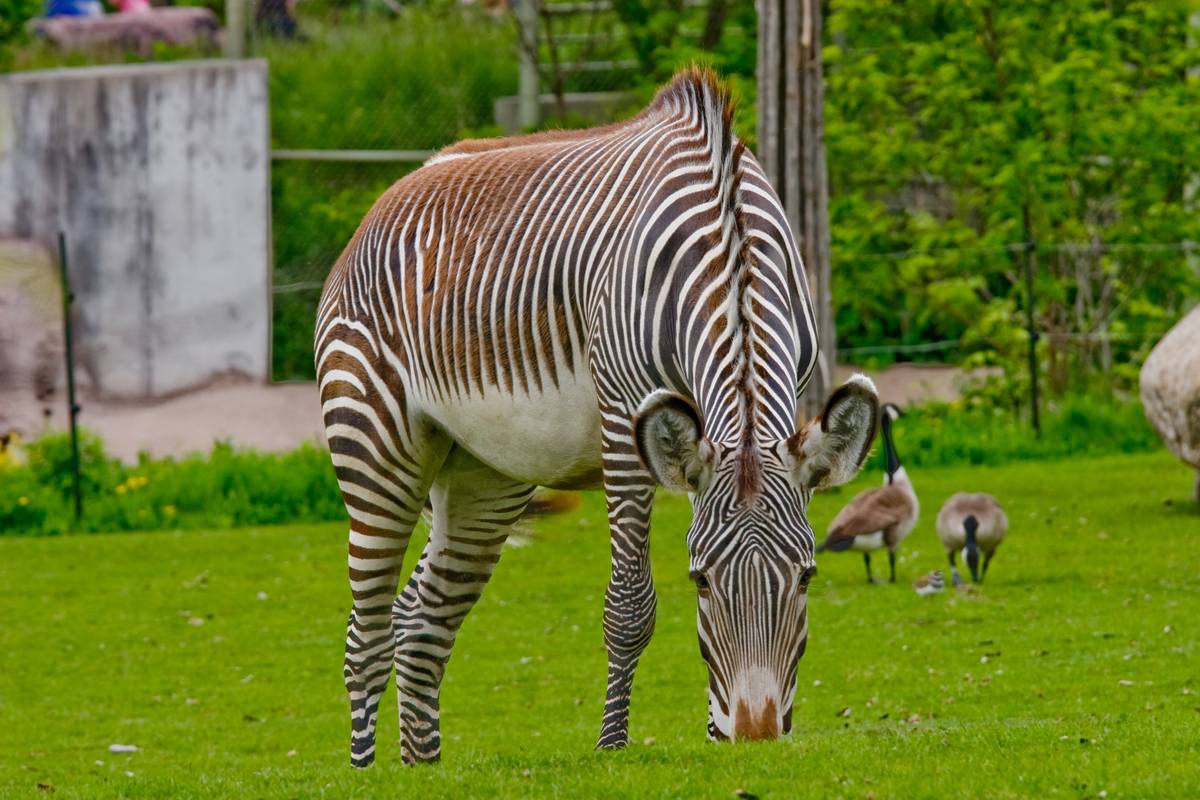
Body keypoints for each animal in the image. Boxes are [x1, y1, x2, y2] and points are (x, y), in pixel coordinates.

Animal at [315, 67, 880, 766]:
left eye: (807, 577)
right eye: (699, 581)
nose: (754, 737)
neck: (728, 237)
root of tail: (397, 188)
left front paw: (713, 732)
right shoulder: (624, 428)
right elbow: (630, 608)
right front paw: (613, 747)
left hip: (485, 473)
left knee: (420, 621)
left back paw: (423, 771)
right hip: (373, 444)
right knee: (365, 633)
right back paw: (368, 771)